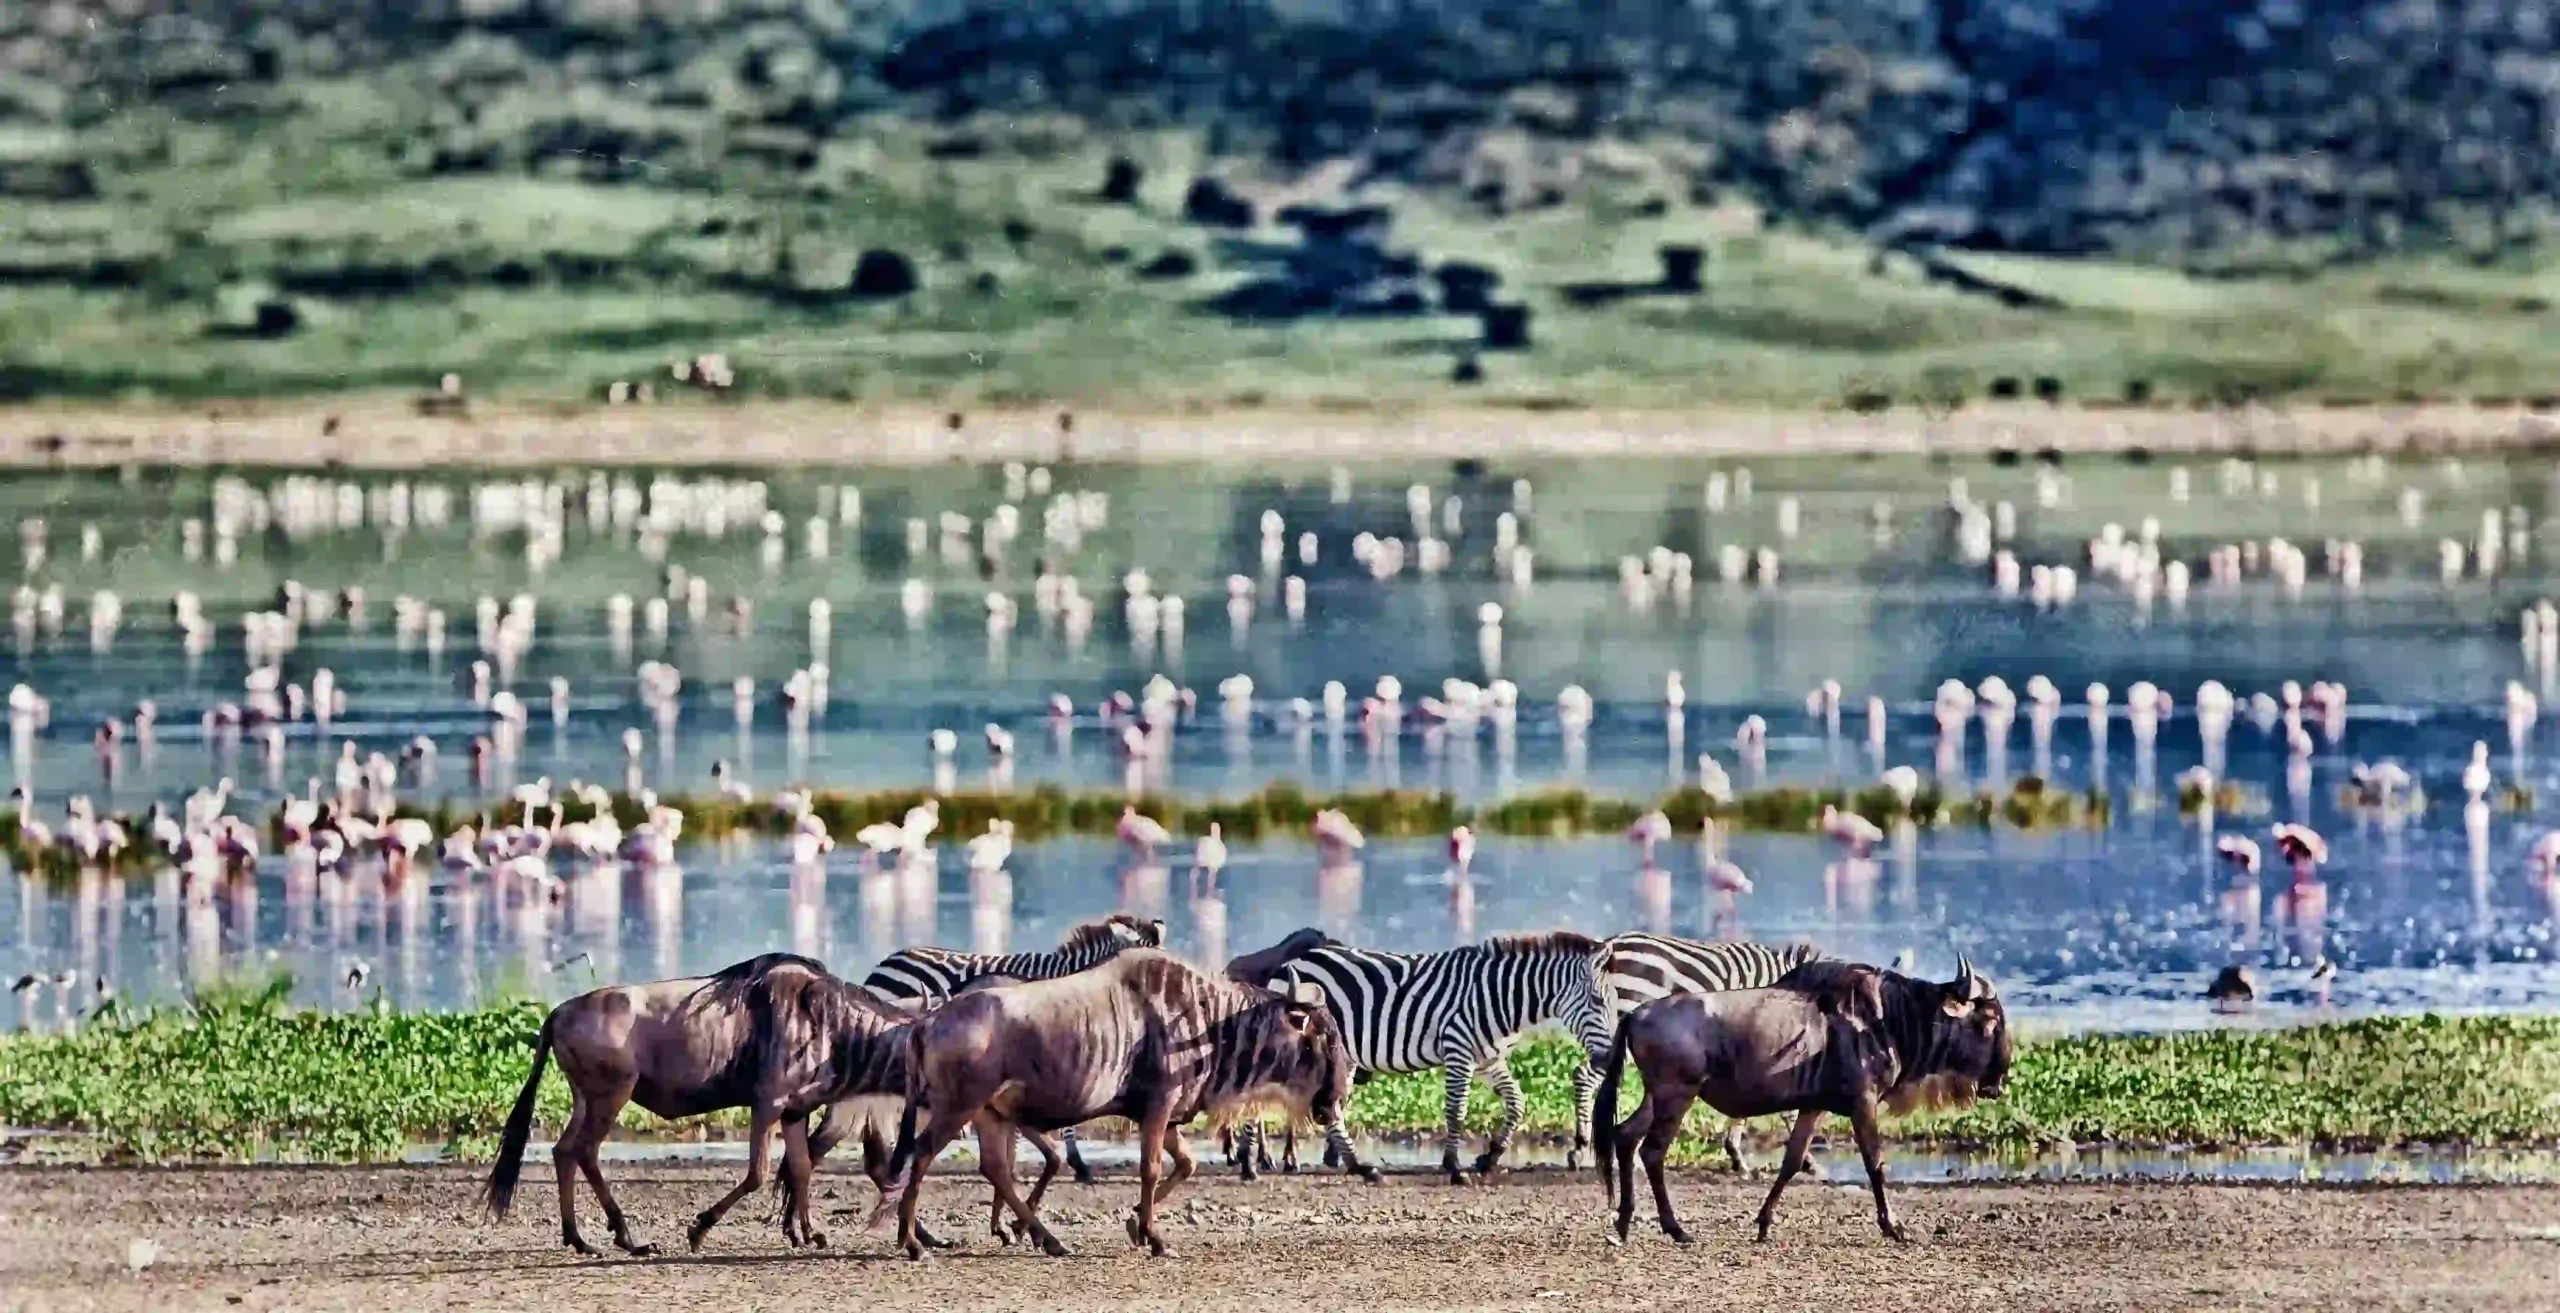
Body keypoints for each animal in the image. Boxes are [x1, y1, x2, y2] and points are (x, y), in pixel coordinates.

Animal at [1247, 931, 1615, 1185]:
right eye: (1598, 1002)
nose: (1610, 1057)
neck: (1499, 997)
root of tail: (1290, 964)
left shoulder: (1488, 1060)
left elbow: (1517, 1104)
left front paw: (1490, 1157)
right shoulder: (1458, 1050)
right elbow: (1456, 1111)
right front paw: (1455, 1168)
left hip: (1342, 1055)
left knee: (1333, 1109)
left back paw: (1361, 1167)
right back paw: (1250, 1166)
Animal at [1576, 935, 1826, 1175]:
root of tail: (1611, 943)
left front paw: (1736, 1155)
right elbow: (1787, 1109)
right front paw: (1807, 1161)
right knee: (1585, 1075)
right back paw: (1583, 1146)